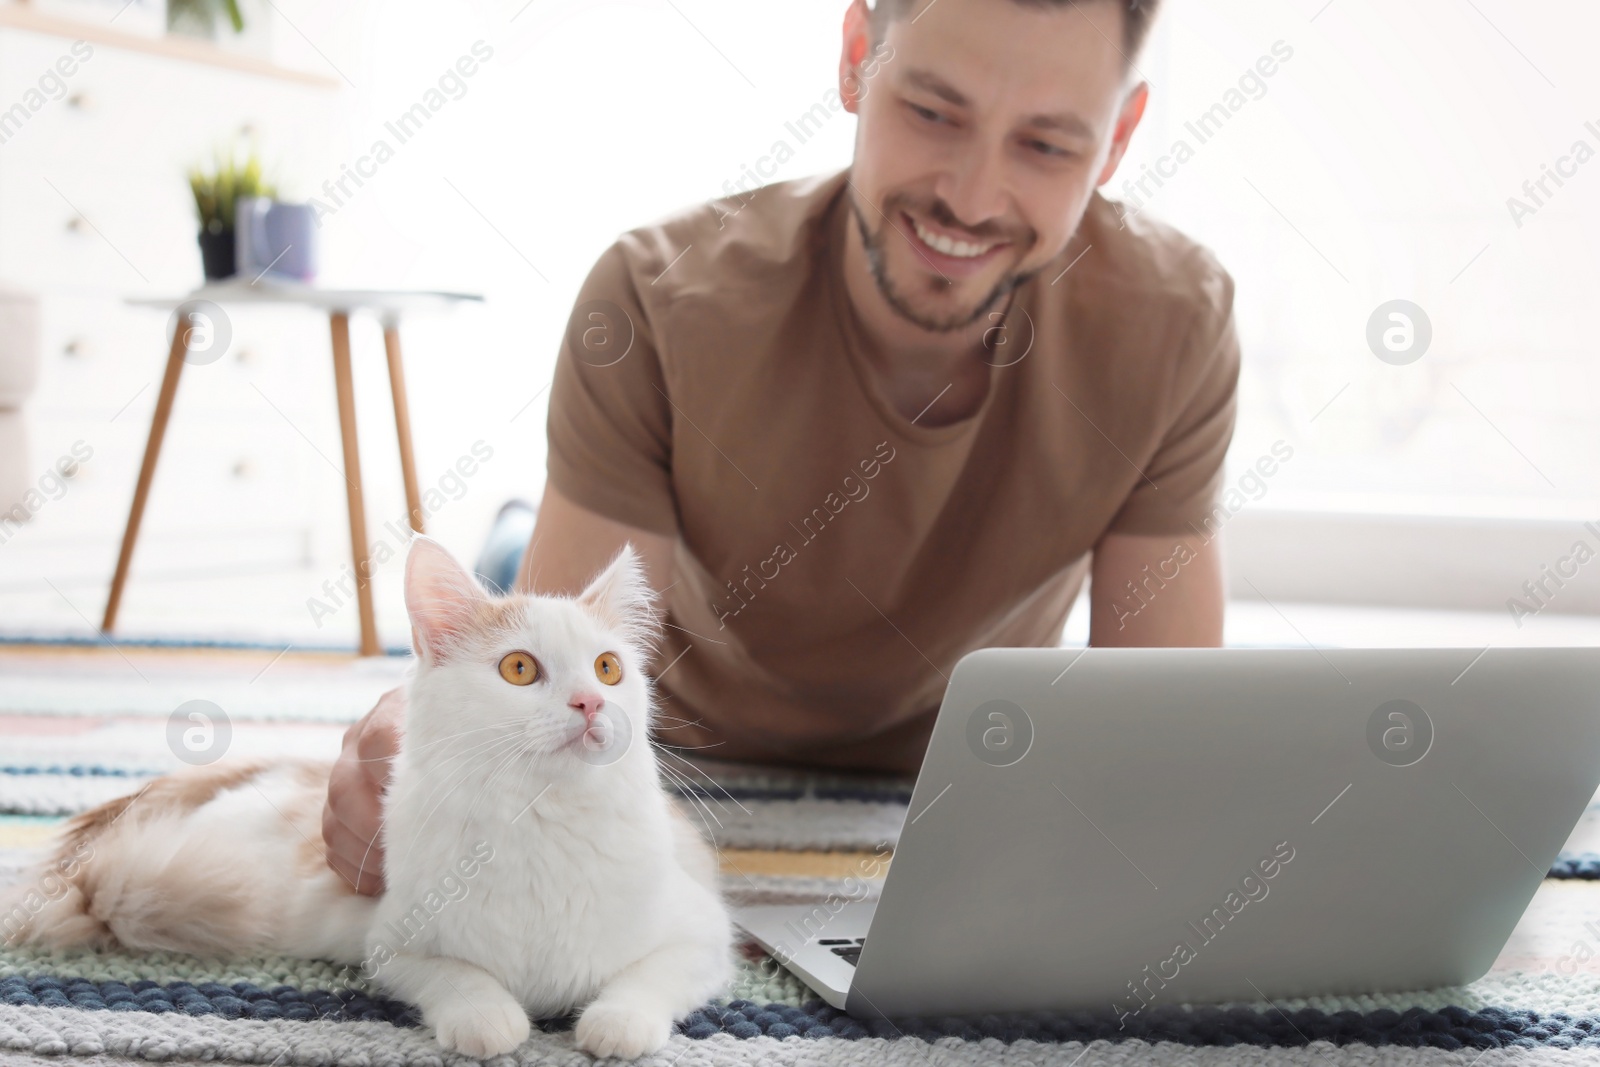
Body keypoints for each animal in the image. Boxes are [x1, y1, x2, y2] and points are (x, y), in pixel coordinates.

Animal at [0, 537, 736, 1055]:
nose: (590, 702)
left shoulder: (704, 933)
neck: (541, 817)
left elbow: (648, 980)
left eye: (609, 669)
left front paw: (615, 1023)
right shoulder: (392, 942)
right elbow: (457, 977)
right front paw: (490, 1018)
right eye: (520, 668)